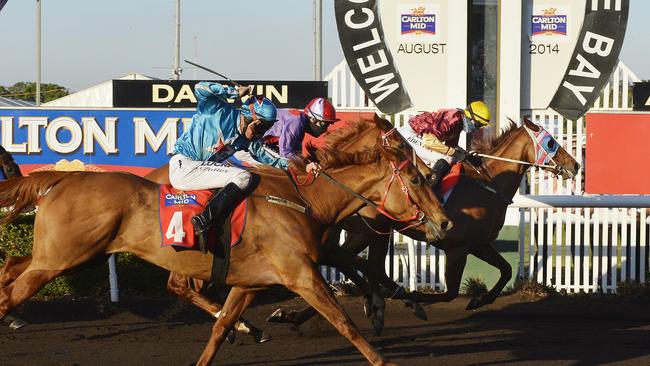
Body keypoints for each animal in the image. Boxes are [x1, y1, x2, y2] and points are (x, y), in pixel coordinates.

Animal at [0, 124, 448, 364]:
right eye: (414, 178)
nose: (444, 221)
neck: (303, 200)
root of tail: (63, 177)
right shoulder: (301, 274)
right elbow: (343, 321)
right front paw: (382, 347)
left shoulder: (250, 282)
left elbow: (220, 329)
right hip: (62, 258)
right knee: (10, 292)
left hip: (64, 256)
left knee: (11, 268)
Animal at [266, 117, 580, 332]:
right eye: (552, 142)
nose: (575, 165)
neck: (488, 184)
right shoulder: (458, 249)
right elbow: (449, 292)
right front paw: (414, 298)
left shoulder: (479, 244)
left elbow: (505, 271)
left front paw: (478, 300)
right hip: (370, 232)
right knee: (354, 261)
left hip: (371, 233)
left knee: (352, 261)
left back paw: (296, 314)